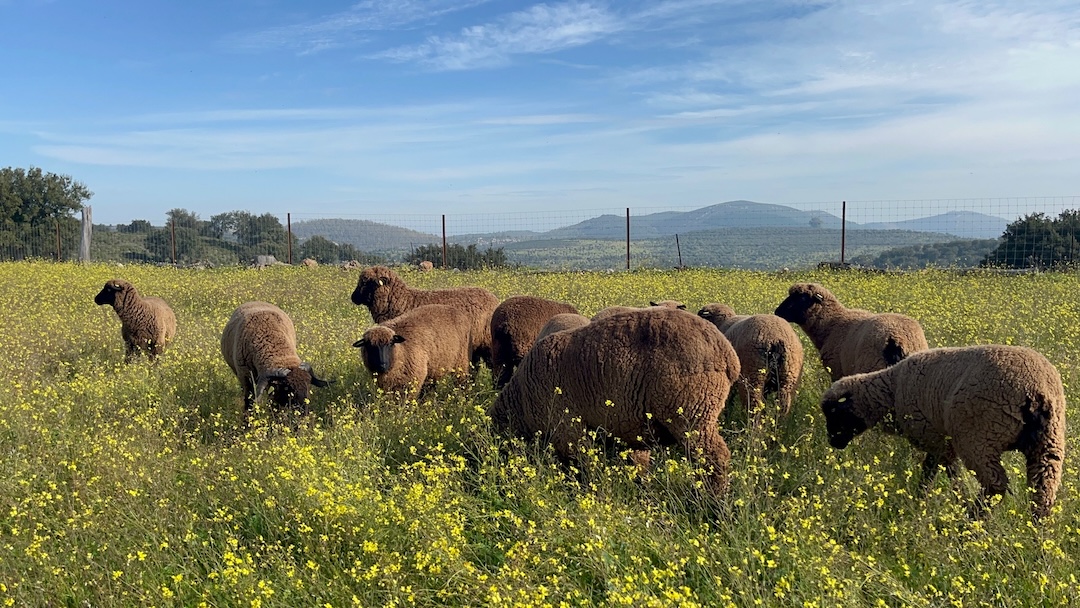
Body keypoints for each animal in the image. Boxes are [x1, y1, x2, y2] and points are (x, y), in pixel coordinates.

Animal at [490, 307, 741, 495]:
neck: (522, 399)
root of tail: (727, 353)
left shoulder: (568, 428)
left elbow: (578, 466)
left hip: (692, 413)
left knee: (714, 458)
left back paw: (711, 502)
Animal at [821, 345, 1066, 520]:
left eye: (834, 413)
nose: (833, 443)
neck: (892, 390)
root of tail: (1036, 391)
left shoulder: (936, 439)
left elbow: (942, 473)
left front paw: (949, 500)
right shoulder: (941, 443)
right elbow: (934, 471)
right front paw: (924, 500)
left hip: (978, 439)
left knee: (996, 485)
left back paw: (972, 520)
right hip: (1049, 443)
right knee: (1043, 492)